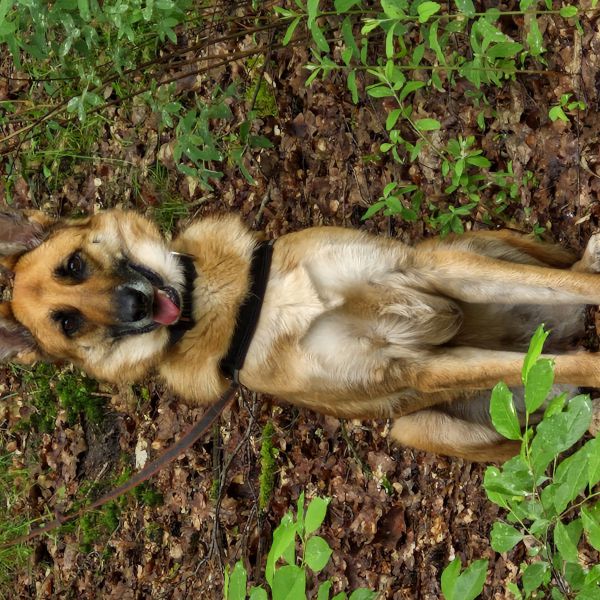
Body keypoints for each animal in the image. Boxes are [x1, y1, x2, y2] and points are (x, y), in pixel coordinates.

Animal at [1, 209, 600, 462]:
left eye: (73, 265)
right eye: (69, 323)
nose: (136, 304)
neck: (235, 305)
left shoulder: (427, 271)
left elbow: (578, 287)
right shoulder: (416, 365)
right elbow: (570, 362)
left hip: (467, 247)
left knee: (564, 273)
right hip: (415, 427)